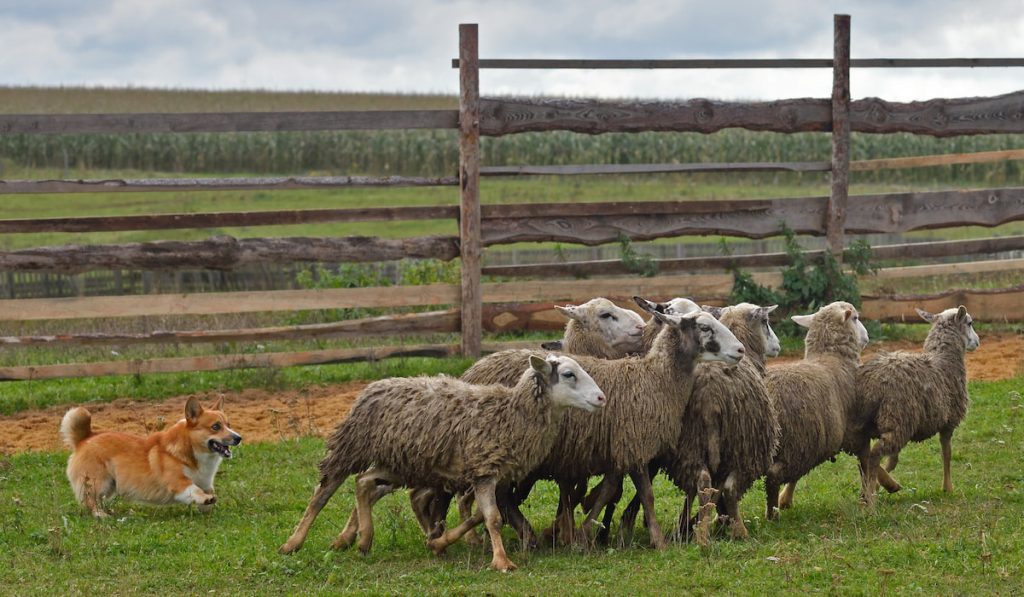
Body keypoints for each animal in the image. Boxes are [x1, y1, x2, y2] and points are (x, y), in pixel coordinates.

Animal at [276, 352, 602, 573]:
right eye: (569, 374)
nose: (601, 398)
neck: (511, 412)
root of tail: (373, 386)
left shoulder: (490, 474)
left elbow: (479, 516)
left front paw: (439, 543)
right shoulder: (484, 471)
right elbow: (493, 518)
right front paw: (501, 561)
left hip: (401, 462)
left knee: (364, 483)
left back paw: (363, 540)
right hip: (353, 446)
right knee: (324, 491)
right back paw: (294, 543)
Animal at [460, 305, 741, 548]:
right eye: (704, 327)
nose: (740, 350)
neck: (656, 379)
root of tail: (472, 370)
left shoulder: (618, 448)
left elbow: (608, 491)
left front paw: (584, 534)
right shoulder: (634, 443)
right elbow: (646, 496)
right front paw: (658, 541)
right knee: (499, 494)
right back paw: (518, 535)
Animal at [765, 301, 868, 520]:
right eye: (855, 318)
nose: (867, 336)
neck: (830, 357)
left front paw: (786, 500)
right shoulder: (856, 431)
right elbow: (866, 464)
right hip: (793, 443)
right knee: (773, 476)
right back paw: (771, 514)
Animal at [851, 305, 978, 507]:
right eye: (970, 323)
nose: (978, 342)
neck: (943, 359)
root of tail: (873, 382)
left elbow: (894, 460)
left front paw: (881, 483)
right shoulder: (948, 422)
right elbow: (947, 454)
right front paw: (948, 488)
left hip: (871, 423)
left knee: (863, 456)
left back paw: (875, 489)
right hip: (897, 420)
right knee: (873, 455)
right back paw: (870, 499)